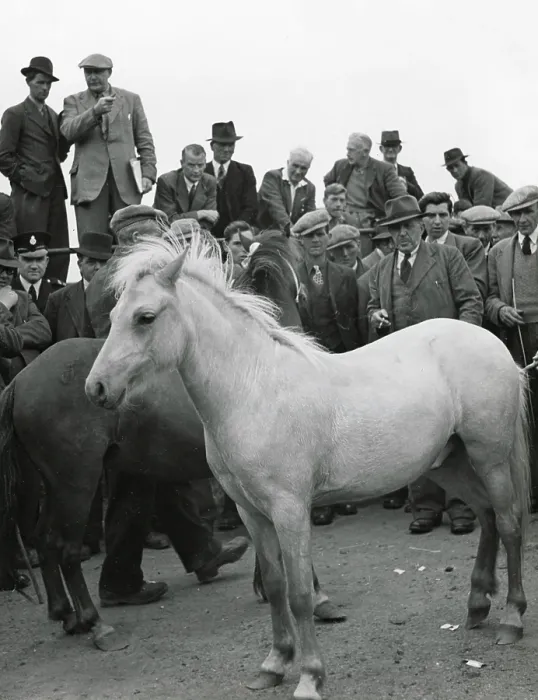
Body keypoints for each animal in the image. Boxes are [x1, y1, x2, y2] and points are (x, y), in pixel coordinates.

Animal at [0, 231, 339, 652]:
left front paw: (265, 585)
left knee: (46, 541)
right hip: (75, 483)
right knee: (64, 548)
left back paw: (67, 615)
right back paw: (95, 622)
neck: (256, 362)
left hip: (52, 482)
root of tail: (20, 380)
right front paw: (316, 594)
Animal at [86, 230, 531, 700]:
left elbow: (300, 593)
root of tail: (490, 341)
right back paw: (477, 605)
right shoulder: (251, 512)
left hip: (490, 456)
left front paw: (310, 676)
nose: (96, 388)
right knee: (487, 517)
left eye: (145, 317)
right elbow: (275, 585)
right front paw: (273, 664)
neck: (254, 388)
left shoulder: (290, 510)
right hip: (450, 463)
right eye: (113, 315)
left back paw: (511, 619)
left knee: (508, 523)